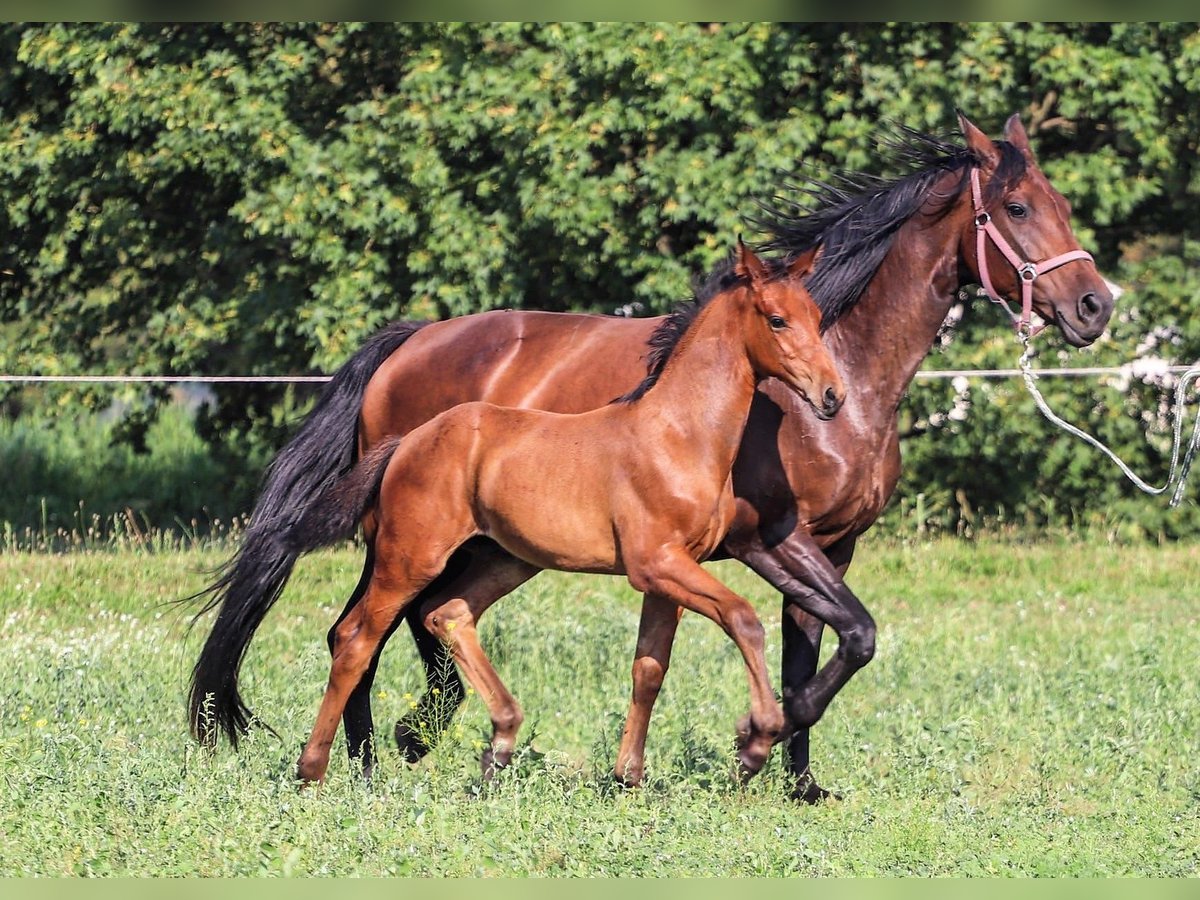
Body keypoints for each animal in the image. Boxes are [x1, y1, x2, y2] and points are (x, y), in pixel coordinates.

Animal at [284, 243, 844, 787]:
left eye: (817, 317)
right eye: (777, 319)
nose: (832, 395)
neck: (679, 434)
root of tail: (407, 442)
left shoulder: (672, 573)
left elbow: (649, 665)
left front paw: (629, 777)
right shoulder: (656, 564)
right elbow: (743, 618)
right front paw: (755, 741)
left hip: (506, 559)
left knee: (448, 613)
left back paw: (500, 743)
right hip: (409, 558)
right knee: (356, 640)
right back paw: (314, 770)